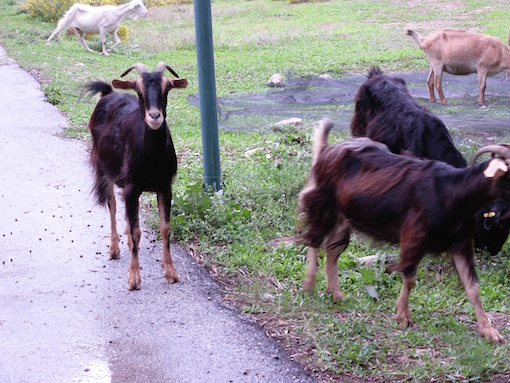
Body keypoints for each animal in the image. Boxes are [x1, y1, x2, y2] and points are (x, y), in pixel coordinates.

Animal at [296, 118, 510, 344]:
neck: (452, 192)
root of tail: (326, 150)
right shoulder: (414, 238)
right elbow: (410, 278)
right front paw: (402, 317)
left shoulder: (461, 244)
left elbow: (473, 287)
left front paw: (489, 331)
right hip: (325, 204)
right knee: (314, 239)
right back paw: (309, 284)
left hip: (344, 217)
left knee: (332, 251)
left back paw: (336, 293)